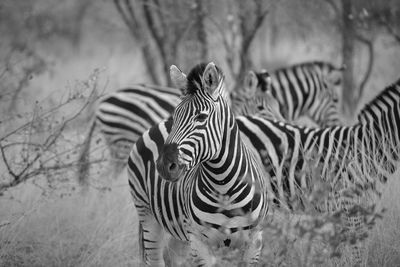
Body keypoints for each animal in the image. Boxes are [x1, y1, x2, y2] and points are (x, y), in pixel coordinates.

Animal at [127, 62, 268, 266]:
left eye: (201, 117)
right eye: (176, 116)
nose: (163, 166)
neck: (224, 187)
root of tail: (157, 124)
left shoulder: (254, 243)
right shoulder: (200, 243)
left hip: (180, 233)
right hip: (147, 215)